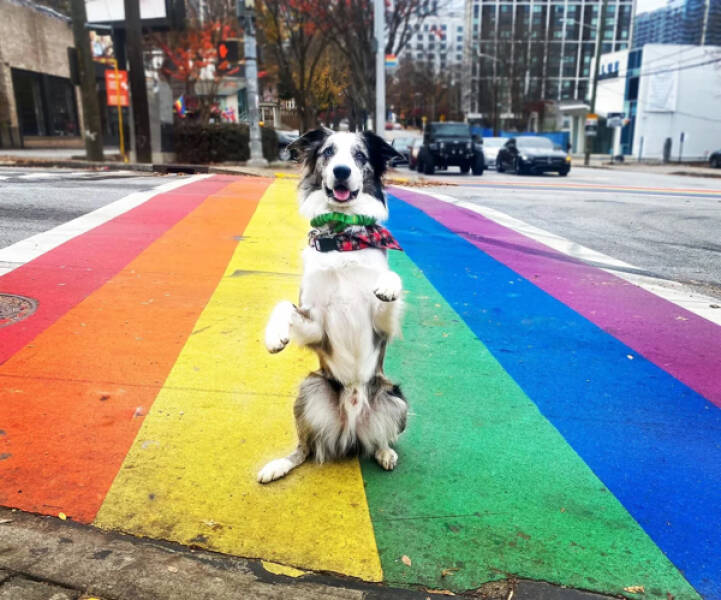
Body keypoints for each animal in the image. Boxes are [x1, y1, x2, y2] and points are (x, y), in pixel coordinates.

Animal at [258, 130, 408, 482]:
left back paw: (385, 452)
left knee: (379, 439)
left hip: (395, 397)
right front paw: (274, 337)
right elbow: (284, 304)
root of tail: (351, 431)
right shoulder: (317, 324)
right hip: (310, 388)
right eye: (328, 152)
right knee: (305, 448)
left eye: (360, 155)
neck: (341, 238)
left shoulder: (380, 326)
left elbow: (391, 281)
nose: (341, 171)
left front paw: (387, 285)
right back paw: (277, 465)